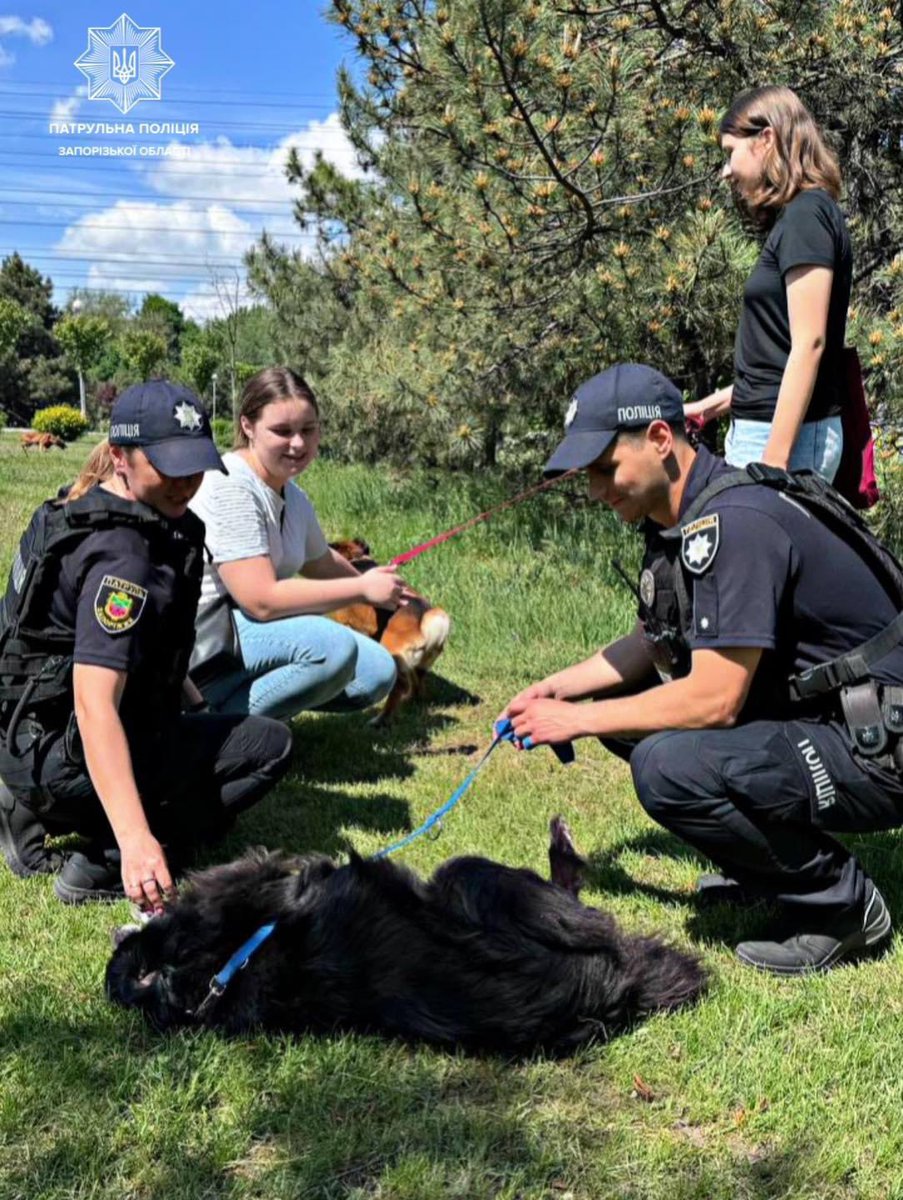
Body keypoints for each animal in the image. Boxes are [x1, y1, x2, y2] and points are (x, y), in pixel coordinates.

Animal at [103, 820, 706, 1056]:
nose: (124, 921)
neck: (227, 966)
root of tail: (614, 991)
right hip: (470, 877)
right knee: (583, 903)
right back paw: (564, 846)